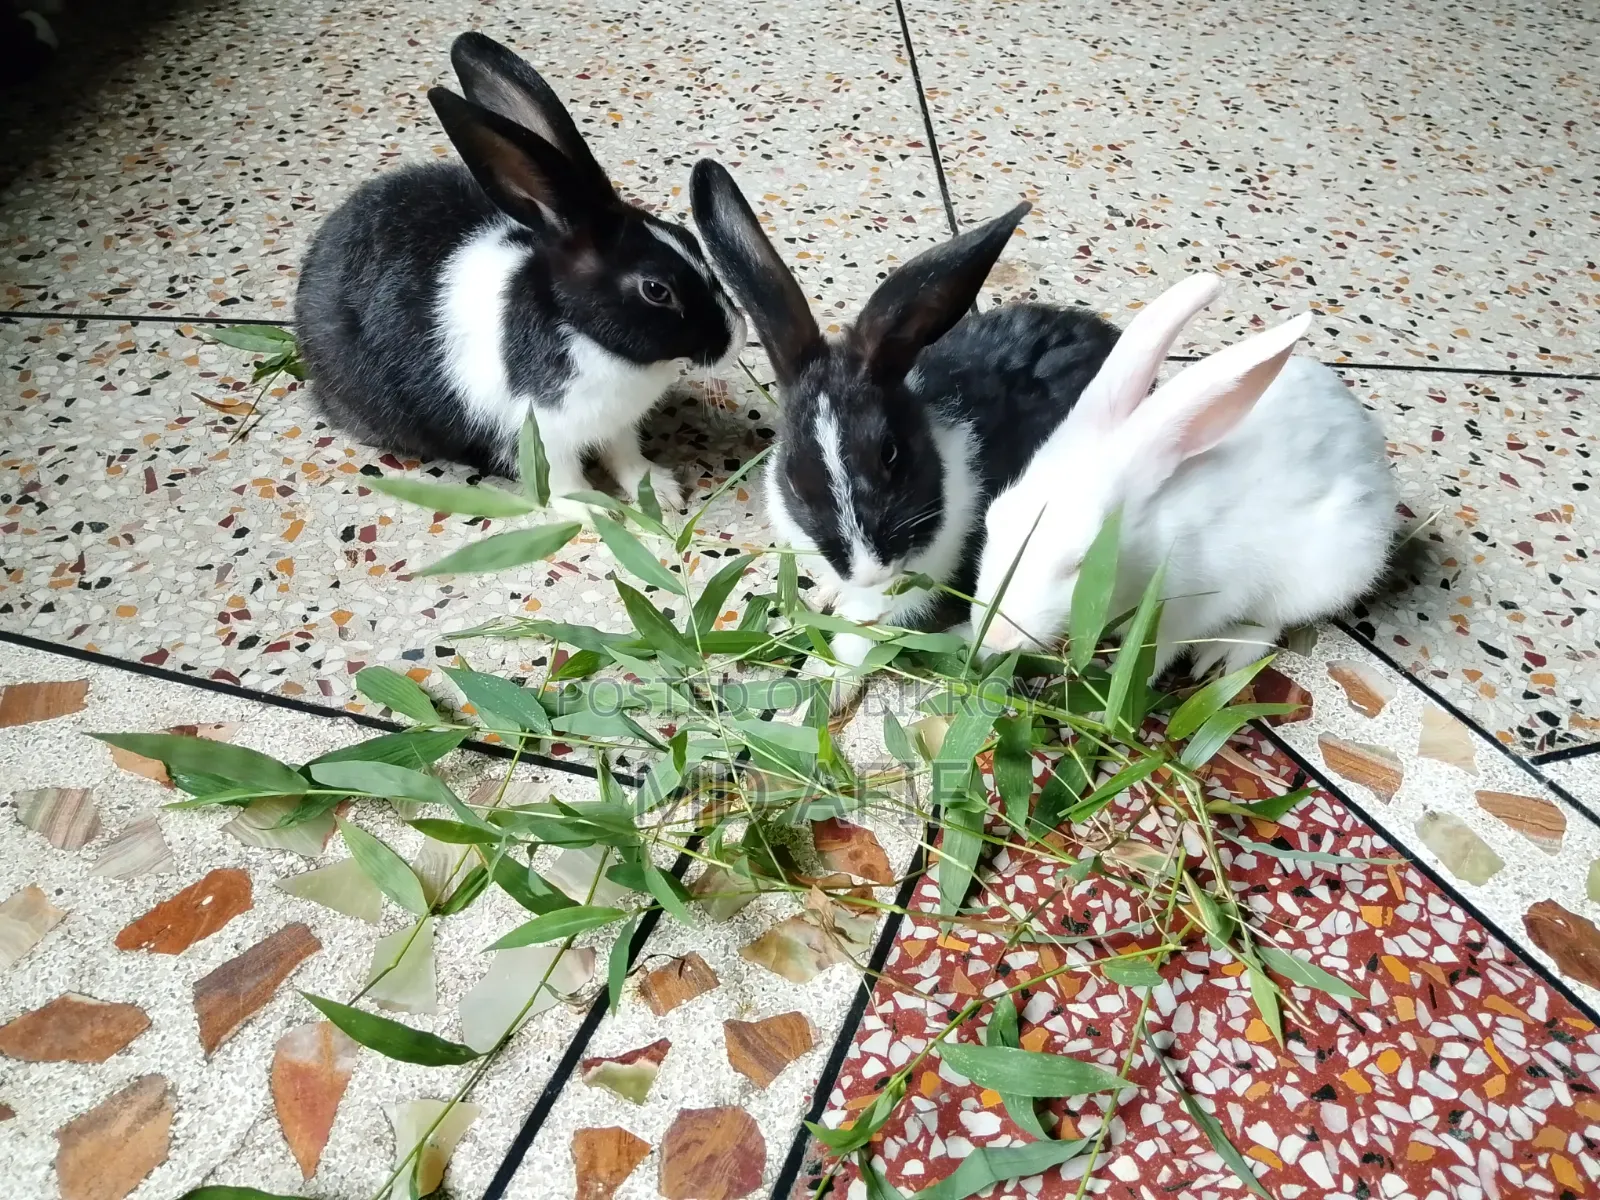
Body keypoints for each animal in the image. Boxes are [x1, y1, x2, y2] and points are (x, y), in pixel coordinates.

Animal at [295, 32, 746, 517]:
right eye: (655, 290)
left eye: (686, 235)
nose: (737, 337)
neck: (586, 336)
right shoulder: (540, 433)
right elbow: (563, 482)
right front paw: (596, 513)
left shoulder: (617, 424)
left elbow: (625, 455)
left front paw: (660, 491)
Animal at [689, 158, 1121, 708]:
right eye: (793, 474)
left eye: (890, 453)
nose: (870, 570)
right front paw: (819, 599)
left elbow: (858, 636)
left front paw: (817, 688)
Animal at [973, 273, 1400, 678]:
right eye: (993, 522)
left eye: (1082, 562)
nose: (996, 638)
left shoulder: (1187, 613)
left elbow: (1155, 656)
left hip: (1321, 575)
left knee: (1271, 622)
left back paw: (1223, 657)